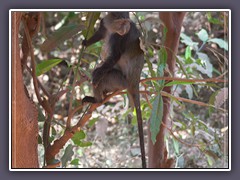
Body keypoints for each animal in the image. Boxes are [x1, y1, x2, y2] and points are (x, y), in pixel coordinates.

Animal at [82, 11, 146, 168]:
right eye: (122, 22)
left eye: (127, 22)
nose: (126, 27)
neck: (113, 29)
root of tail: (134, 81)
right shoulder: (106, 23)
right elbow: (100, 33)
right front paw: (86, 42)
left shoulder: (120, 38)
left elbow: (113, 57)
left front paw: (97, 73)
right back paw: (103, 95)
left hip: (120, 81)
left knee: (105, 77)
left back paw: (97, 99)